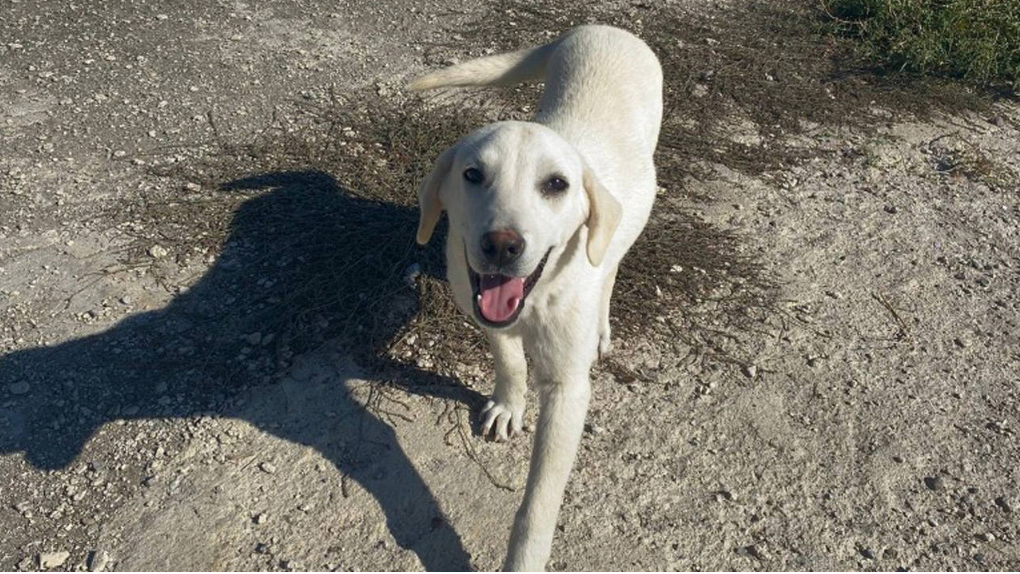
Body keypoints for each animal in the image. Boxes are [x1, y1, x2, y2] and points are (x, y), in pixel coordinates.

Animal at [405, 25, 660, 570]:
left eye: (556, 184)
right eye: (473, 174)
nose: (502, 246)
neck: (541, 296)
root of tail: (602, 27)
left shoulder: (568, 392)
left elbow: (538, 503)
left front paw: (524, 558)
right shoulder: (485, 314)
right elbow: (509, 361)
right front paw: (508, 405)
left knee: (612, 258)